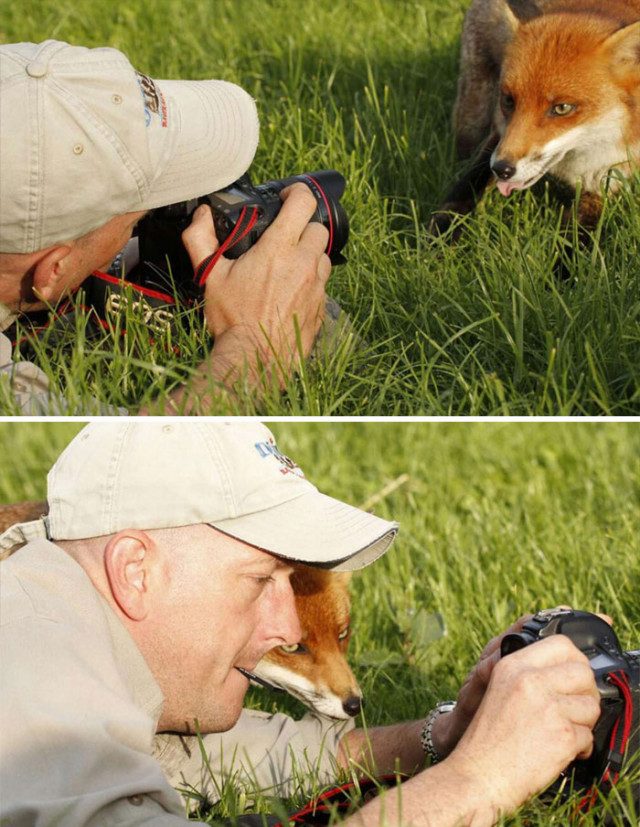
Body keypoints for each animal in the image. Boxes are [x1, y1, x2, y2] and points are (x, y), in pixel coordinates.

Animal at [430, 0, 640, 233]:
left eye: (562, 108)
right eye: (509, 101)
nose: (502, 169)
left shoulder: (609, 173)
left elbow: (576, 234)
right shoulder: (499, 133)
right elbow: (468, 183)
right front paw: (441, 232)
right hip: (471, 118)